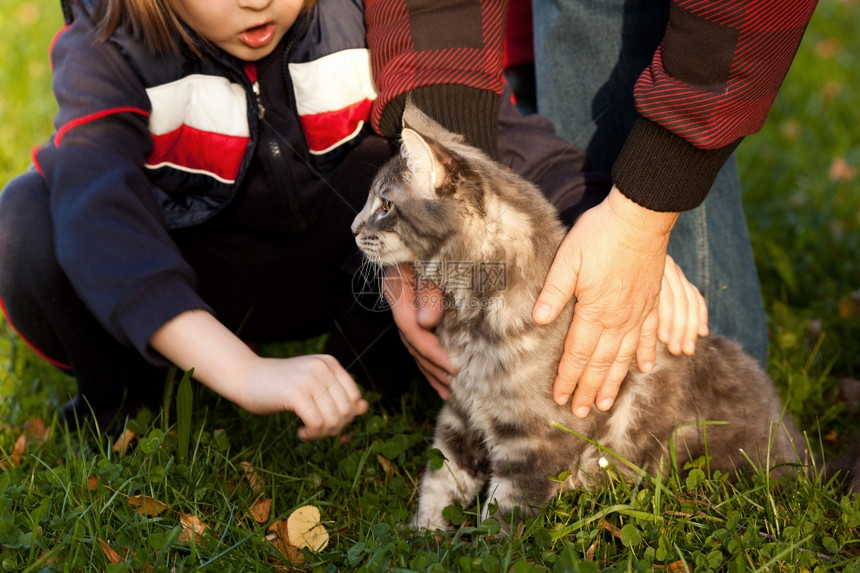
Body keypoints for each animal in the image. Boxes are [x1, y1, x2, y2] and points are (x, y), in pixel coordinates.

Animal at [352, 105, 808, 528]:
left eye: (386, 205)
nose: (354, 228)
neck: (473, 324)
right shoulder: (458, 414)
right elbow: (440, 483)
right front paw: (423, 536)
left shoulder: (534, 443)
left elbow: (503, 514)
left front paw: (485, 545)